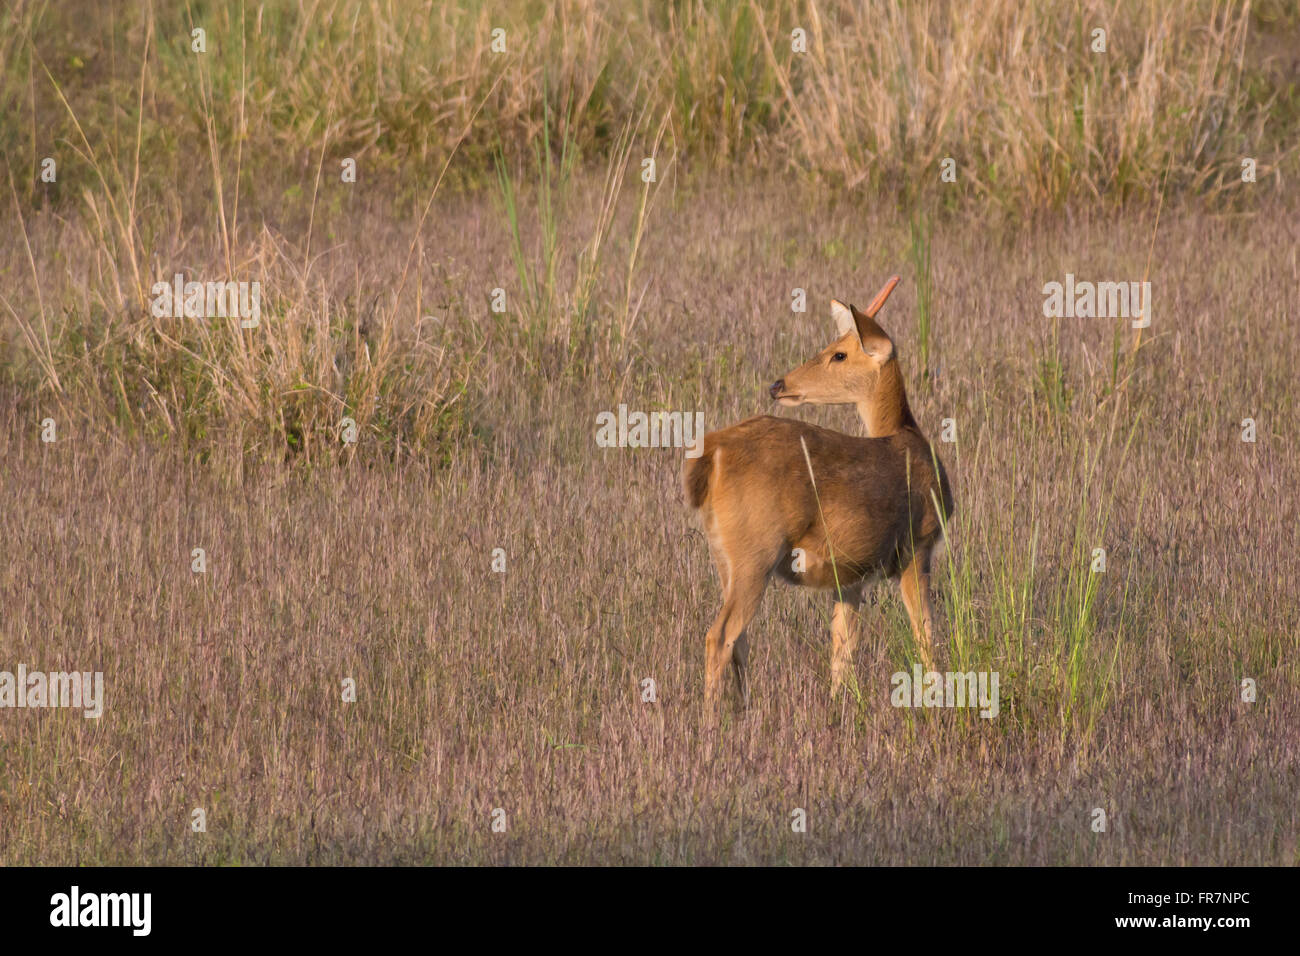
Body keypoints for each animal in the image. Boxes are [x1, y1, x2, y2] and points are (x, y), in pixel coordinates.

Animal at [686, 273, 951, 707]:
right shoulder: (918, 545)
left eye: (838, 354)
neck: (906, 434)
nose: (778, 384)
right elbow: (925, 633)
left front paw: (840, 705)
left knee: (739, 639)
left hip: (724, 556)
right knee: (719, 635)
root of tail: (714, 452)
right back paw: (711, 721)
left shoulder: (852, 576)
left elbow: (843, 649)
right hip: (755, 551)